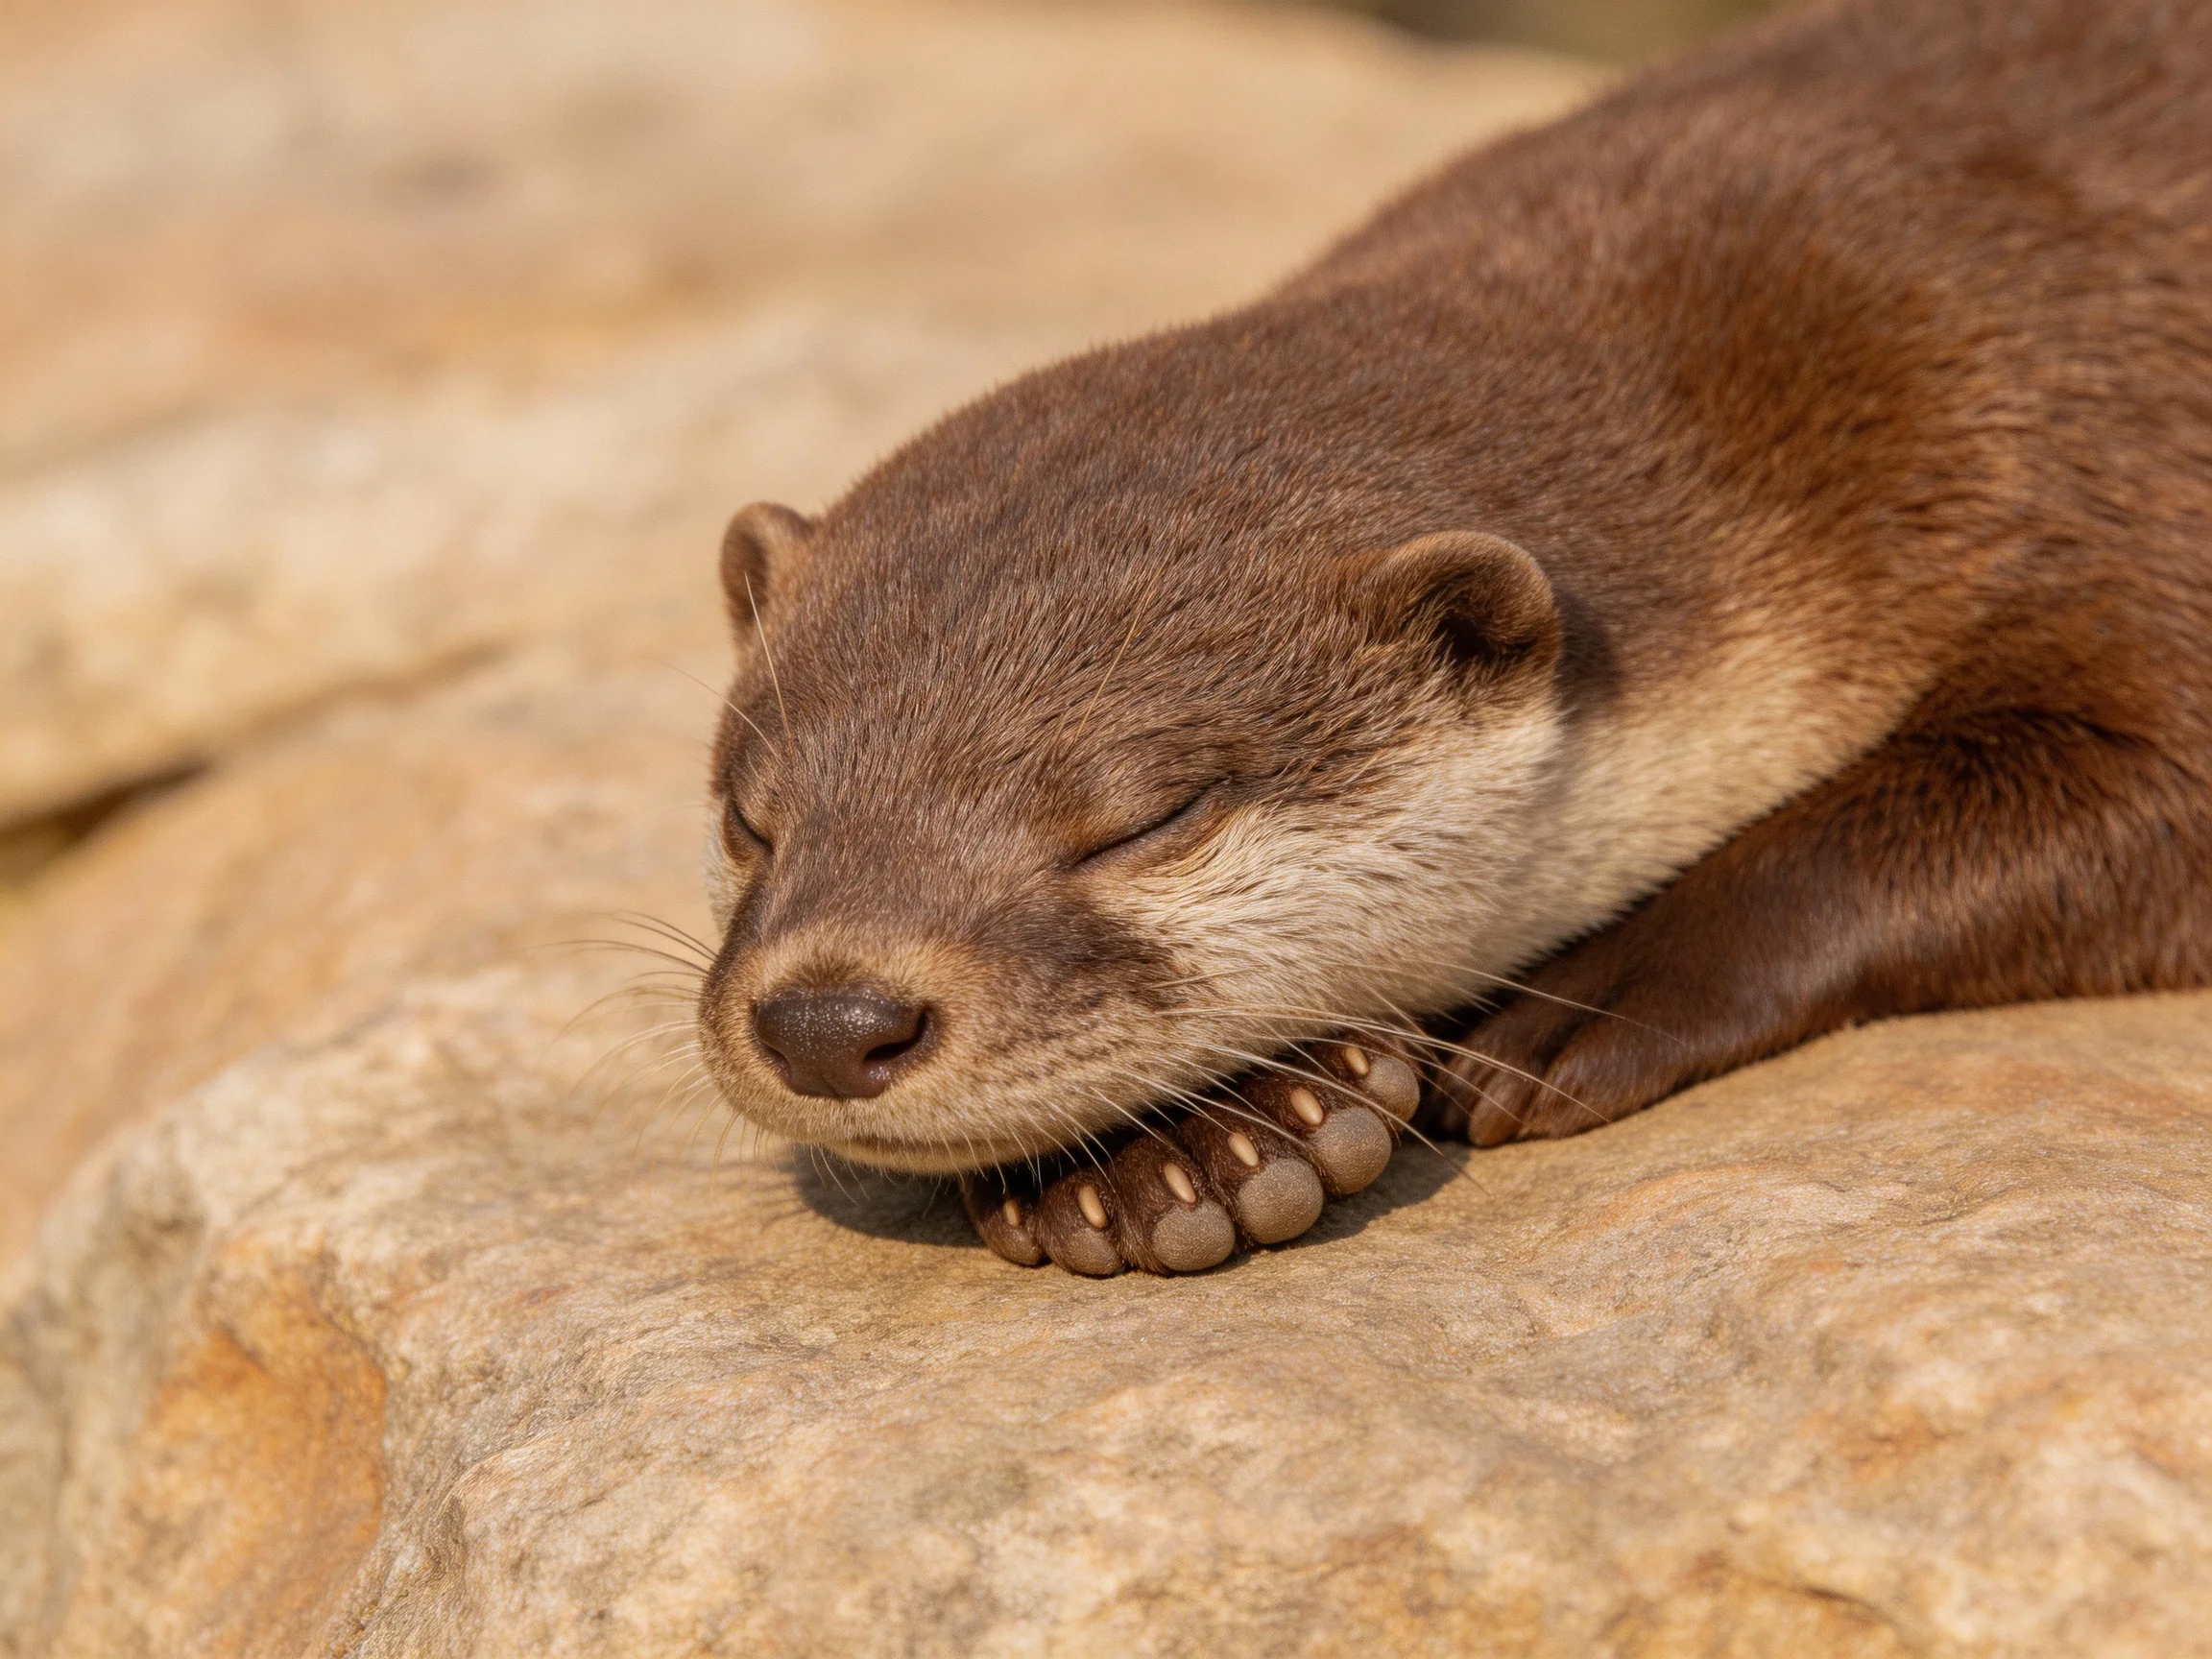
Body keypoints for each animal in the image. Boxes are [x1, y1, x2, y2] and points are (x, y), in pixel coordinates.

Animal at [695, 0, 2212, 1276]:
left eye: (1147, 820)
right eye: (749, 821)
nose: (828, 1020)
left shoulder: (2087, 447)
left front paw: (1581, 1001)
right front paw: (1189, 1153)